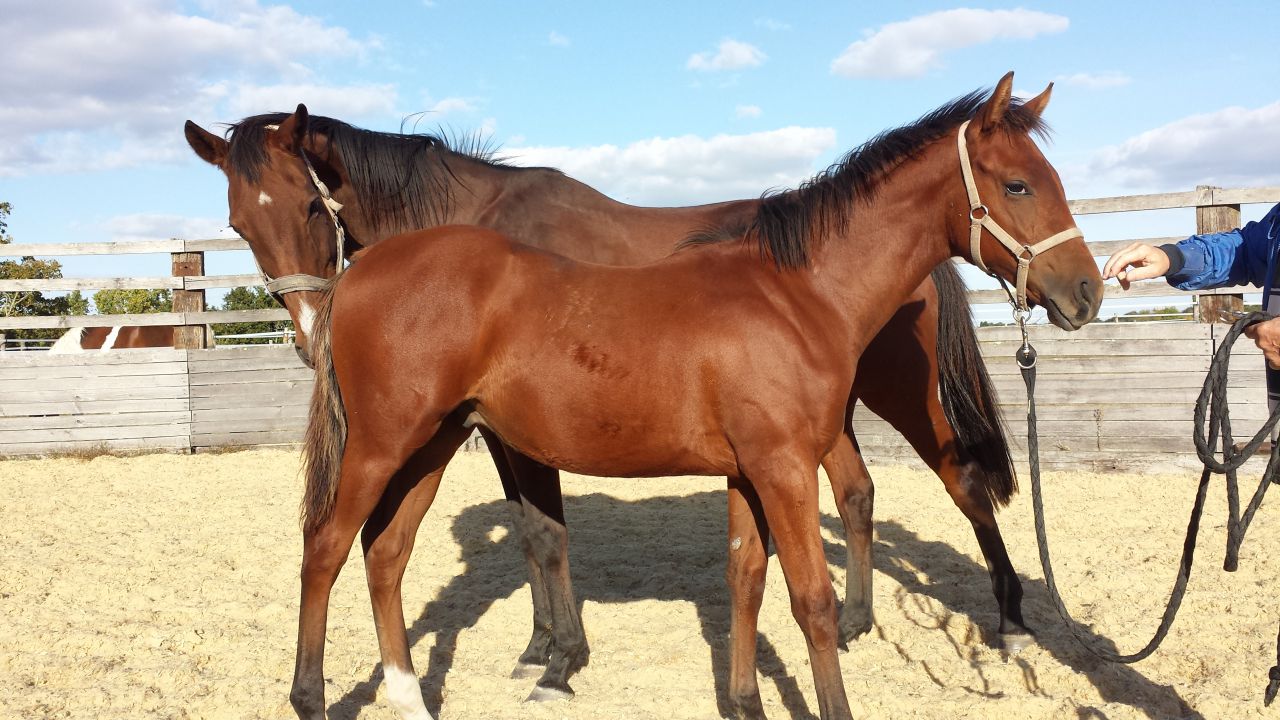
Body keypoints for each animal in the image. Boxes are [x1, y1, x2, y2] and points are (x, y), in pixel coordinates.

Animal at [291, 75, 1102, 720]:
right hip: (384, 445)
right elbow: (810, 601)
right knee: (326, 548)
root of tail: (356, 276)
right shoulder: (781, 470)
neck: (795, 293)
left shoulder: (749, 472)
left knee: (385, 555)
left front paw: (744, 702)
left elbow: (745, 580)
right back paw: (310, 696)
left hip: (432, 443)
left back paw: (408, 698)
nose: (1087, 292)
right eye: (1018, 185)